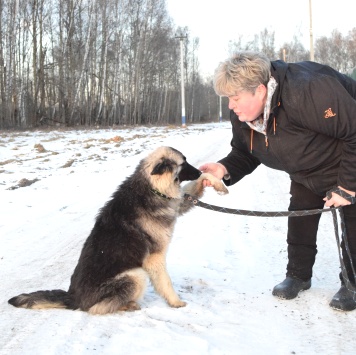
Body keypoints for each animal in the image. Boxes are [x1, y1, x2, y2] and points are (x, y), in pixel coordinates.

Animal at [8, 147, 228, 314]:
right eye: (183, 164)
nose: (198, 171)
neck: (152, 187)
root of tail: (73, 298)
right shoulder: (155, 258)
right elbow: (166, 283)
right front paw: (176, 302)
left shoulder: (177, 202)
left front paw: (216, 183)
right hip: (135, 275)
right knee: (96, 309)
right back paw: (128, 305)